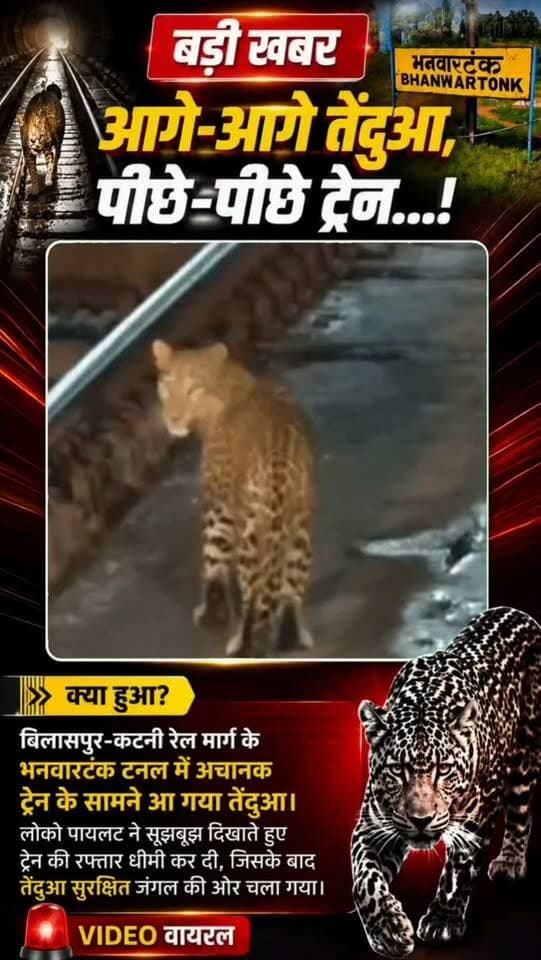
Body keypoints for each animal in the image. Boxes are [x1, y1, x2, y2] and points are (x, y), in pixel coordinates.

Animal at [152, 340, 315, 657]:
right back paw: (291, 637)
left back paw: (244, 643)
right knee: (291, 590)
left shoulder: (219, 508)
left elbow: (213, 558)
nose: (173, 418)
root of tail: (279, 465)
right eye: (167, 384)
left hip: (251, 534)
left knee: (255, 596)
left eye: (193, 387)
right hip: (299, 527)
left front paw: (209, 614)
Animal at [351, 605, 540, 958]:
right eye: (397, 770)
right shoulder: (373, 827)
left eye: (444, 770)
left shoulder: (476, 818)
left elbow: (459, 868)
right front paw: (388, 929)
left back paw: (509, 861)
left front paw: (443, 919)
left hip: (526, 753)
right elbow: (363, 878)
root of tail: (518, 613)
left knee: (521, 812)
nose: (421, 820)